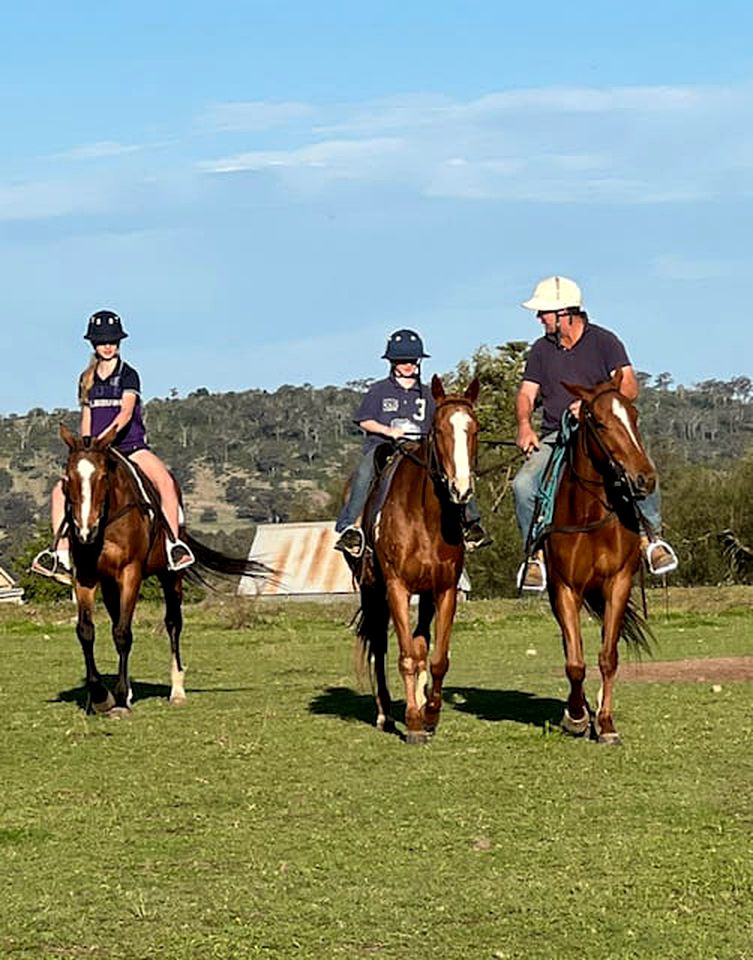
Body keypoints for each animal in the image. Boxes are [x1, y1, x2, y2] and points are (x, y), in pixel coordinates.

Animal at [61, 424, 274, 716]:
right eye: (68, 478)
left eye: (103, 476)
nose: (85, 532)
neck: (107, 522)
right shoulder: (85, 576)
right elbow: (86, 631)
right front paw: (101, 696)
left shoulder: (131, 573)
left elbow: (123, 634)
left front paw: (119, 699)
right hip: (110, 584)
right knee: (118, 621)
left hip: (171, 577)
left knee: (173, 623)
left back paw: (177, 691)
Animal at [354, 374, 482, 744]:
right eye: (438, 429)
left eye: (475, 428)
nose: (461, 490)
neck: (424, 517)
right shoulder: (397, 588)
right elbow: (407, 656)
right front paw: (412, 721)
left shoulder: (445, 590)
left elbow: (436, 658)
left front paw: (431, 714)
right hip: (373, 592)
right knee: (380, 647)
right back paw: (384, 713)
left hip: (423, 596)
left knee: (422, 642)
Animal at [544, 372, 656, 748]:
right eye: (601, 422)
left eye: (634, 416)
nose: (645, 478)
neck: (590, 513)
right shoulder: (566, 589)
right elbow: (575, 663)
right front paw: (577, 716)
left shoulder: (618, 584)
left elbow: (608, 657)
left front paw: (606, 724)